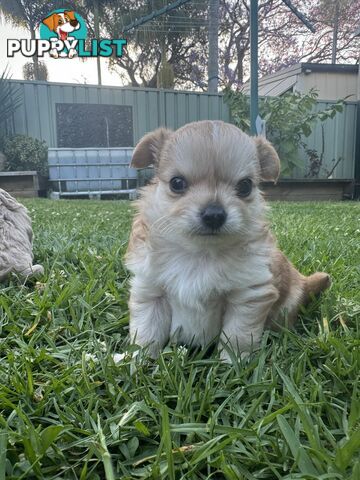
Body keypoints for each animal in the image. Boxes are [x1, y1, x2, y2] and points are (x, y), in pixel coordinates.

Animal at [125, 120, 330, 360]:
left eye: (245, 186)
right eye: (177, 183)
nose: (214, 214)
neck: (200, 253)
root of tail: (304, 281)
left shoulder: (248, 295)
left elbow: (237, 337)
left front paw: (232, 364)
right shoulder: (151, 291)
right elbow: (146, 332)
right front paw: (137, 361)